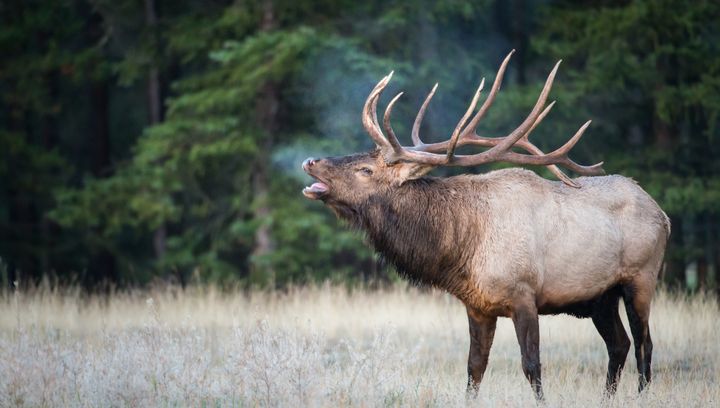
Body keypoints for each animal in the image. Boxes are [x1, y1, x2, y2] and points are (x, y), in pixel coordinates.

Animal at [300, 50, 668, 398]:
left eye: (366, 169)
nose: (310, 160)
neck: (463, 247)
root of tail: (662, 214)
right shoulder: (477, 306)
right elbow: (474, 367)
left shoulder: (524, 293)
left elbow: (532, 366)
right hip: (600, 297)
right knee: (619, 344)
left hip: (641, 278)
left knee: (644, 345)